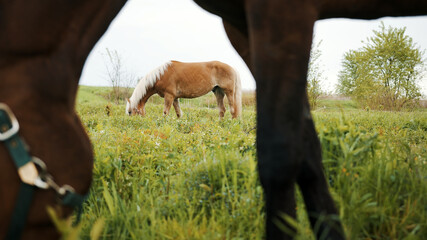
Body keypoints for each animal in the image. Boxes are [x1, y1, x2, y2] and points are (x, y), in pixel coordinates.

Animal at [0, 0, 427, 240]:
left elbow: (169, 111)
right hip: (220, 93)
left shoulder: (169, 93)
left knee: (233, 113)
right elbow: (178, 115)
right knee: (224, 113)